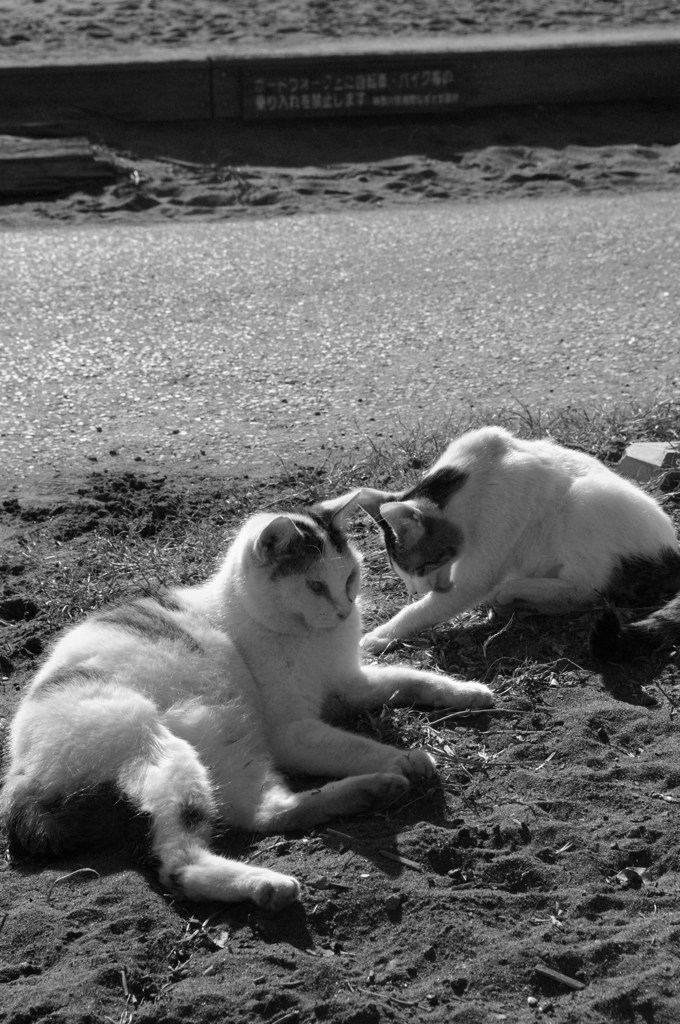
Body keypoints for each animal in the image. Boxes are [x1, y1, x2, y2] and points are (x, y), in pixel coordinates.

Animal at [0, 491, 491, 909]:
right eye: (315, 586)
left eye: (350, 577)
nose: (344, 611)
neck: (312, 639)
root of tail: (20, 776)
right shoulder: (292, 732)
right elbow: (356, 745)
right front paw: (406, 757)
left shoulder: (351, 682)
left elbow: (411, 679)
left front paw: (467, 691)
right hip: (160, 746)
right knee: (181, 864)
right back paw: (269, 883)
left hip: (235, 752)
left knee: (264, 812)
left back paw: (370, 791)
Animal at [346, 428, 680, 659]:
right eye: (400, 572)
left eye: (423, 565)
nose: (414, 591)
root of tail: (672, 549)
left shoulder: (478, 571)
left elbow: (426, 609)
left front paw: (380, 635)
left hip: (586, 498)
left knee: (588, 589)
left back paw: (514, 592)